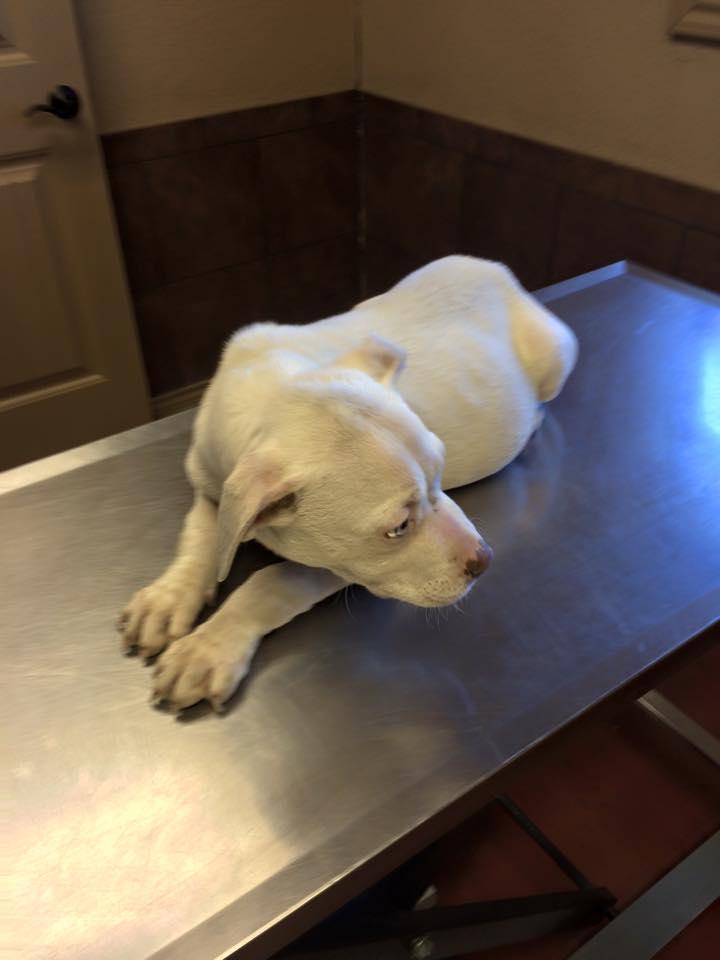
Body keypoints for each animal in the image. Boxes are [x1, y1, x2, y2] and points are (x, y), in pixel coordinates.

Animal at [119, 256, 580, 712]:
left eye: (441, 473)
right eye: (398, 528)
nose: (484, 559)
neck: (270, 391)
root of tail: (500, 272)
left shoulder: (347, 567)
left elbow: (275, 582)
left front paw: (206, 649)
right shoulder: (213, 486)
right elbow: (199, 536)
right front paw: (168, 598)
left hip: (554, 358)